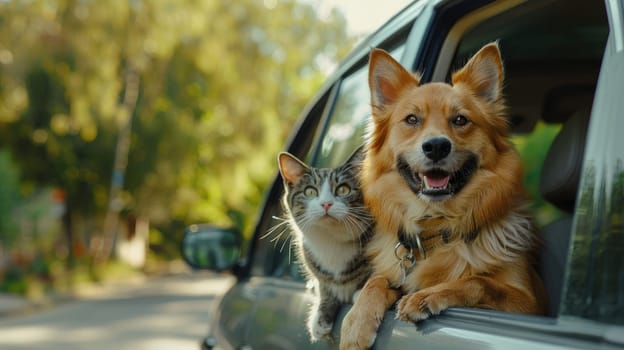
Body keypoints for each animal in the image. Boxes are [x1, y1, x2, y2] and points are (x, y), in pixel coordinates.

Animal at [276, 147, 372, 342]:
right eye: (310, 192)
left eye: (343, 189)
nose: (326, 203)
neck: (332, 241)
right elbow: (324, 286)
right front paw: (320, 318)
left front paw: (361, 291)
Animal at [338, 42, 548, 348]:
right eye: (411, 119)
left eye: (460, 120)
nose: (436, 146)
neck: (437, 226)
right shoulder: (395, 272)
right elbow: (375, 281)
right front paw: (356, 323)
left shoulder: (529, 303)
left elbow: (478, 281)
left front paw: (427, 296)